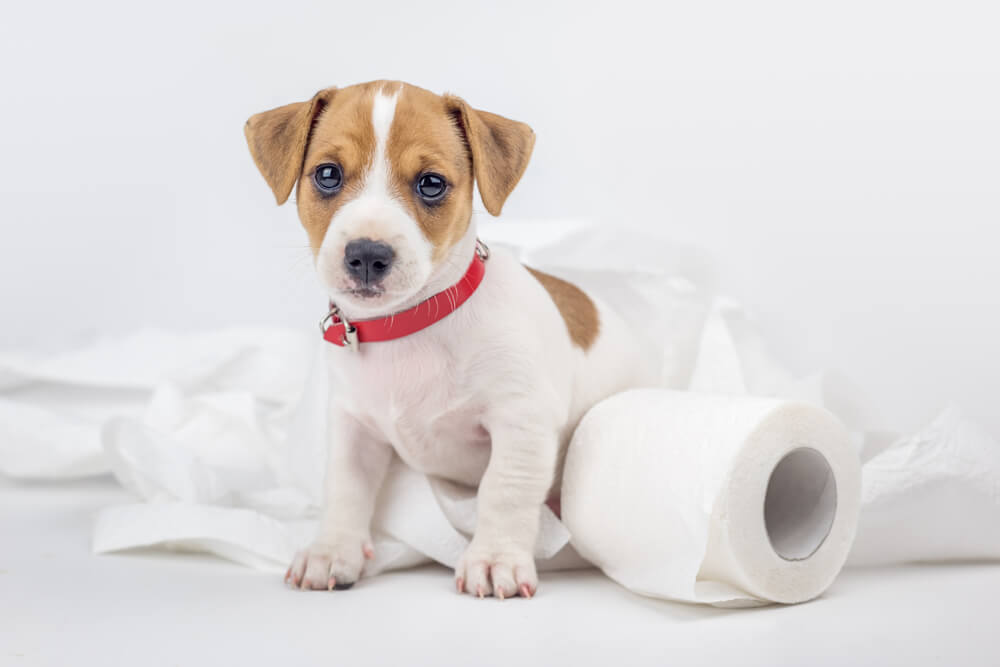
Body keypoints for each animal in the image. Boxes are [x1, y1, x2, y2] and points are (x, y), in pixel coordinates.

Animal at [243, 79, 648, 600]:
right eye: (328, 174)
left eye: (431, 183)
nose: (367, 254)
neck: (408, 327)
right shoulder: (354, 425)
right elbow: (345, 487)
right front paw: (332, 551)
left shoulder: (522, 422)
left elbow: (504, 489)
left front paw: (495, 559)